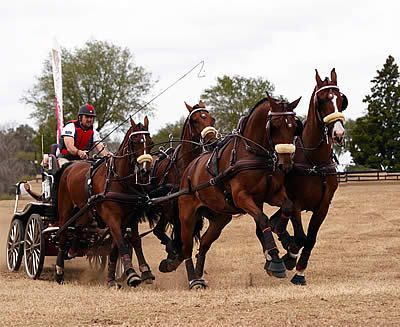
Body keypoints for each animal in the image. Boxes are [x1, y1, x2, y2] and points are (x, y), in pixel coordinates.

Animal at [55, 117, 155, 288]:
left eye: (150, 142)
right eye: (134, 142)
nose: (145, 171)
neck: (119, 180)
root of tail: (69, 167)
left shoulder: (130, 218)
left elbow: (128, 243)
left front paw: (141, 271)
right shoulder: (112, 217)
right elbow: (121, 243)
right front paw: (132, 274)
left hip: (87, 211)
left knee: (78, 227)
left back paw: (73, 249)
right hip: (65, 210)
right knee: (62, 234)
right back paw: (59, 271)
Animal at [162, 95, 300, 290]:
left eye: (294, 126)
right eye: (275, 125)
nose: (285, 164)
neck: (251, 153)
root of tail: (189, 170)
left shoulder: (272, 195)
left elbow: (286, 207)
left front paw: (280, 239)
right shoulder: (241, 197)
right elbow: (262, 219)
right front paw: (275, 260)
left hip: (219, 218)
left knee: (204, 243)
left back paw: (199, 273)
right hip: (187, 216)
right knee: (186, 247)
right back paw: (193, 280)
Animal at [270, 68, 348, 286]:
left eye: (341, 99)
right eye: (321, 100)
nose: (338, 133)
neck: (315, 162)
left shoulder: (323, 206)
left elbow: (310, 239)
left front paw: (299, 271)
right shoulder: (296, 202)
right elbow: (300, 238)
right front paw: (290, 259)